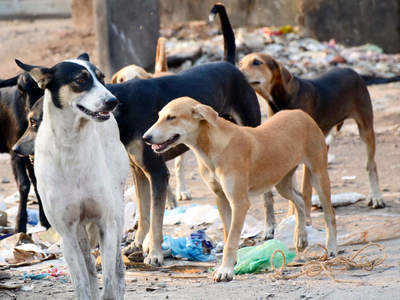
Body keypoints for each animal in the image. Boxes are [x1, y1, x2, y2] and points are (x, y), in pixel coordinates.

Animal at [0, 72, 49, 232]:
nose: (32, 112)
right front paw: (20, 225)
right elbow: (24, 185)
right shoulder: (15, 152)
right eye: (21, 89)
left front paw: (45, 221)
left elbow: (37, 183)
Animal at [15, 54, 128, 300]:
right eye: (80, 80)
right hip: (78, 232)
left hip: (117, 213)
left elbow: (109, 282)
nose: (113, 101)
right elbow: (82, 282)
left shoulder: (106, 223)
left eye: (102, 77)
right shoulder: (67, 234)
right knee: (89, 269)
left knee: (118, 269)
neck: (71, 144)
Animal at [111, 36, 191, 205]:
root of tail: (161, 71)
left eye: (137, 78)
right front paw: (169, 201)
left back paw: (182, 190)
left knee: (179, 166)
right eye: (120, 79)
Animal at [144, 97, 338, 282]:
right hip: (281, 182)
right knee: (299, 199)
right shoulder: (221, 198)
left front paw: (225, 271)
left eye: (171, 117)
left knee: (330, 215)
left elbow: (231, 239)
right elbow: (228, 233)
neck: (211, 147)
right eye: (159, 116)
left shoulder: (239, 202)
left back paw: (331, 247)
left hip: (318, 174)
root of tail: (300, 113)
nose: (146, 138)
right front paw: (232, 263)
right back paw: (301, 237)